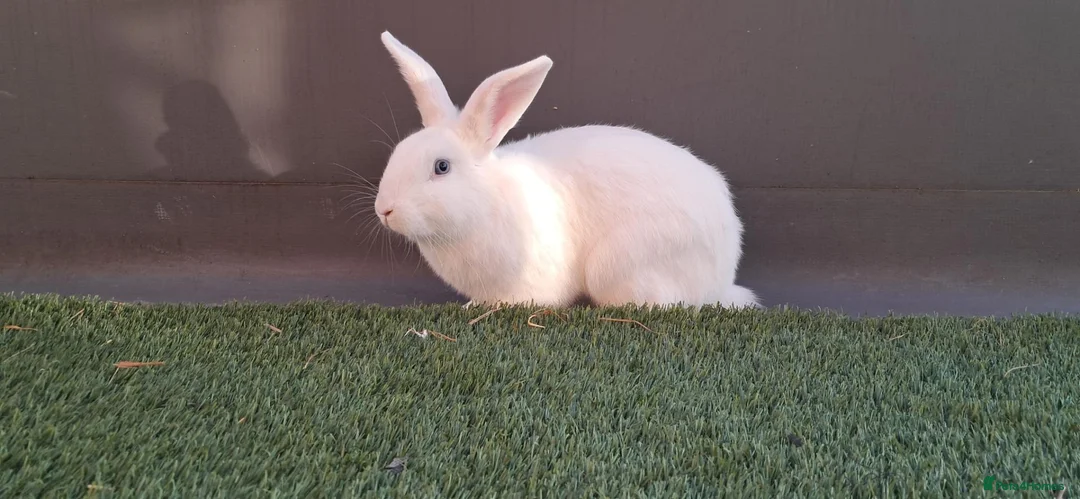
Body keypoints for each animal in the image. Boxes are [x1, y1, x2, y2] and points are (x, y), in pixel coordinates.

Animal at [372, 31, 760, 309]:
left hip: (620, 266)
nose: (384, 210)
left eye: (442, 167)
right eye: (398, 152)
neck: (488, 198)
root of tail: (723, 278)